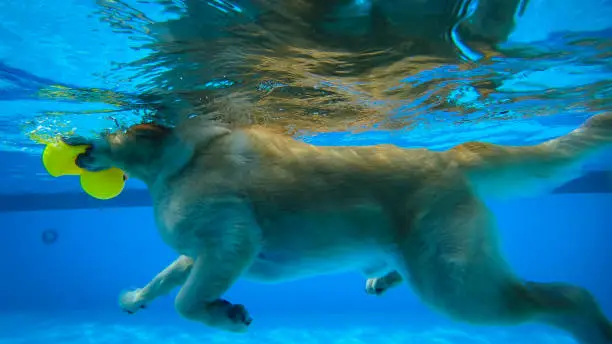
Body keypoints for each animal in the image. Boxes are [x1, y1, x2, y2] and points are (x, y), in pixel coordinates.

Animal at [74, 112, 612, 342]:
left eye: (110, 131)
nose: (74, 140)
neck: (179, 161)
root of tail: (448, 157)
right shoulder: (201, 253)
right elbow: (166, 277)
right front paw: (136, 298)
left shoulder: (231, 241)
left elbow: (186, 302)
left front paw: (224, 315)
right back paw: (383, 277)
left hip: (457, 286)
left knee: (570, 296)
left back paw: (594, 330)